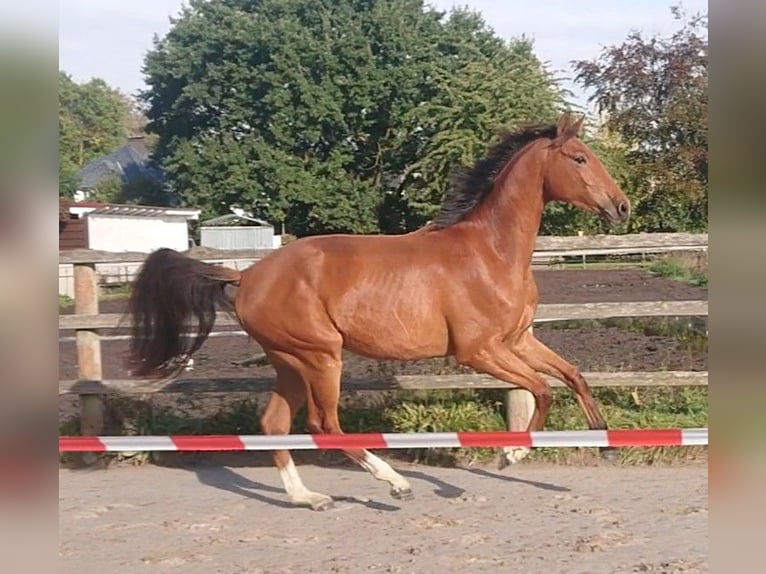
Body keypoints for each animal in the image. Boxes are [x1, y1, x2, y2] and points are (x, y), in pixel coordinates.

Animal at [126, 112, 631, 511]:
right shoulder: (479, 351)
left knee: (274, 424)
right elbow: (542, 390)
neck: (491, 252)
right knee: (324, 425)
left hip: (290, 361)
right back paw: (395, 484)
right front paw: (511, 455)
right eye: (580, 158)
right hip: (321, 356)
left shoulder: (519, 340)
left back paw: (308, 498)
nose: (622, 207)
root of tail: (246, 276)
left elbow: (573, 377)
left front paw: (604, 442)